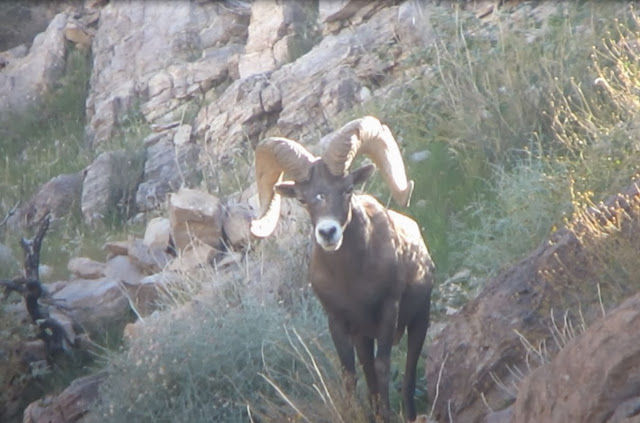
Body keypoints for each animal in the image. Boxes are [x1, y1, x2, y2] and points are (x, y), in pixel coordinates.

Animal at [250, 116, 434, 423]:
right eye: (302, 199)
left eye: (347, 189)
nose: (328, 233)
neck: (351, 280)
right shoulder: (339, 323)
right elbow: (351, 375)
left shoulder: (388, 310)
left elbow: (382, 367)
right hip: (365, 337)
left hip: (420, 320)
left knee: (408, 372)